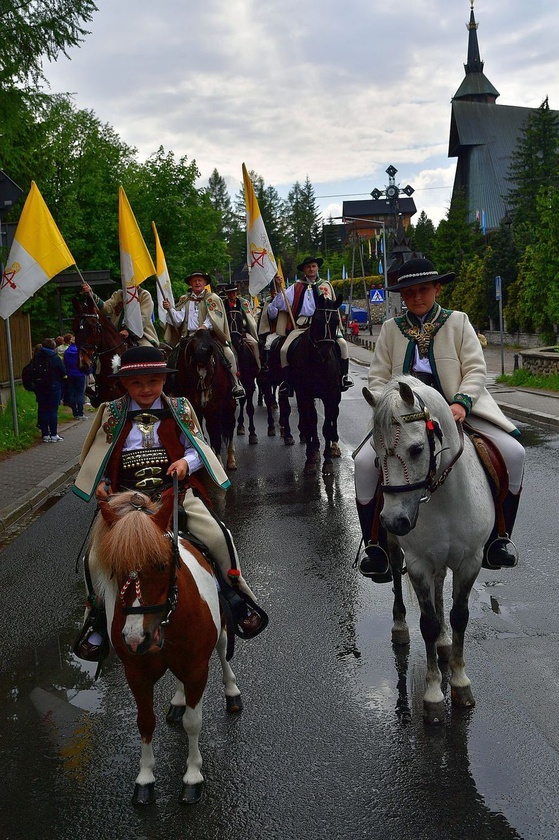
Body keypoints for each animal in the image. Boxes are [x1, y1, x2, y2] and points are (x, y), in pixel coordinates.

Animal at [88, 492, 243, 808]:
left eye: (160, 565)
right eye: (114, 570)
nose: (135, 639)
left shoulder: (197, 668)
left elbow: (193, 722)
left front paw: (193, 776)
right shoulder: (137, 674)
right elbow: (145, 722)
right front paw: (145, 778)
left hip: (221, 624)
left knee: (223, 648)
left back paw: (232, 691)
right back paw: (178, 699)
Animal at [174, 330, 237, 472]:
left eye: (212, 369)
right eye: (192, 369)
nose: (204, 400)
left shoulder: (215, 408)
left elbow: (215, 433)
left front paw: (218, 463)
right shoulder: (194, 407)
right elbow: (199, 432)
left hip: (229, 405)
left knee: (230, 427)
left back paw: (231, 460)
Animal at [286, 296, 344, 476]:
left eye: (336, 321)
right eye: (317, 320)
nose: (324, 354)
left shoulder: (330, 395)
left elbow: (326, 426)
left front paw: (328, 462)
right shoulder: (304, 394)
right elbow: (311, 423)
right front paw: (310, 460)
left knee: (334, 416)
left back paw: (334, 446)